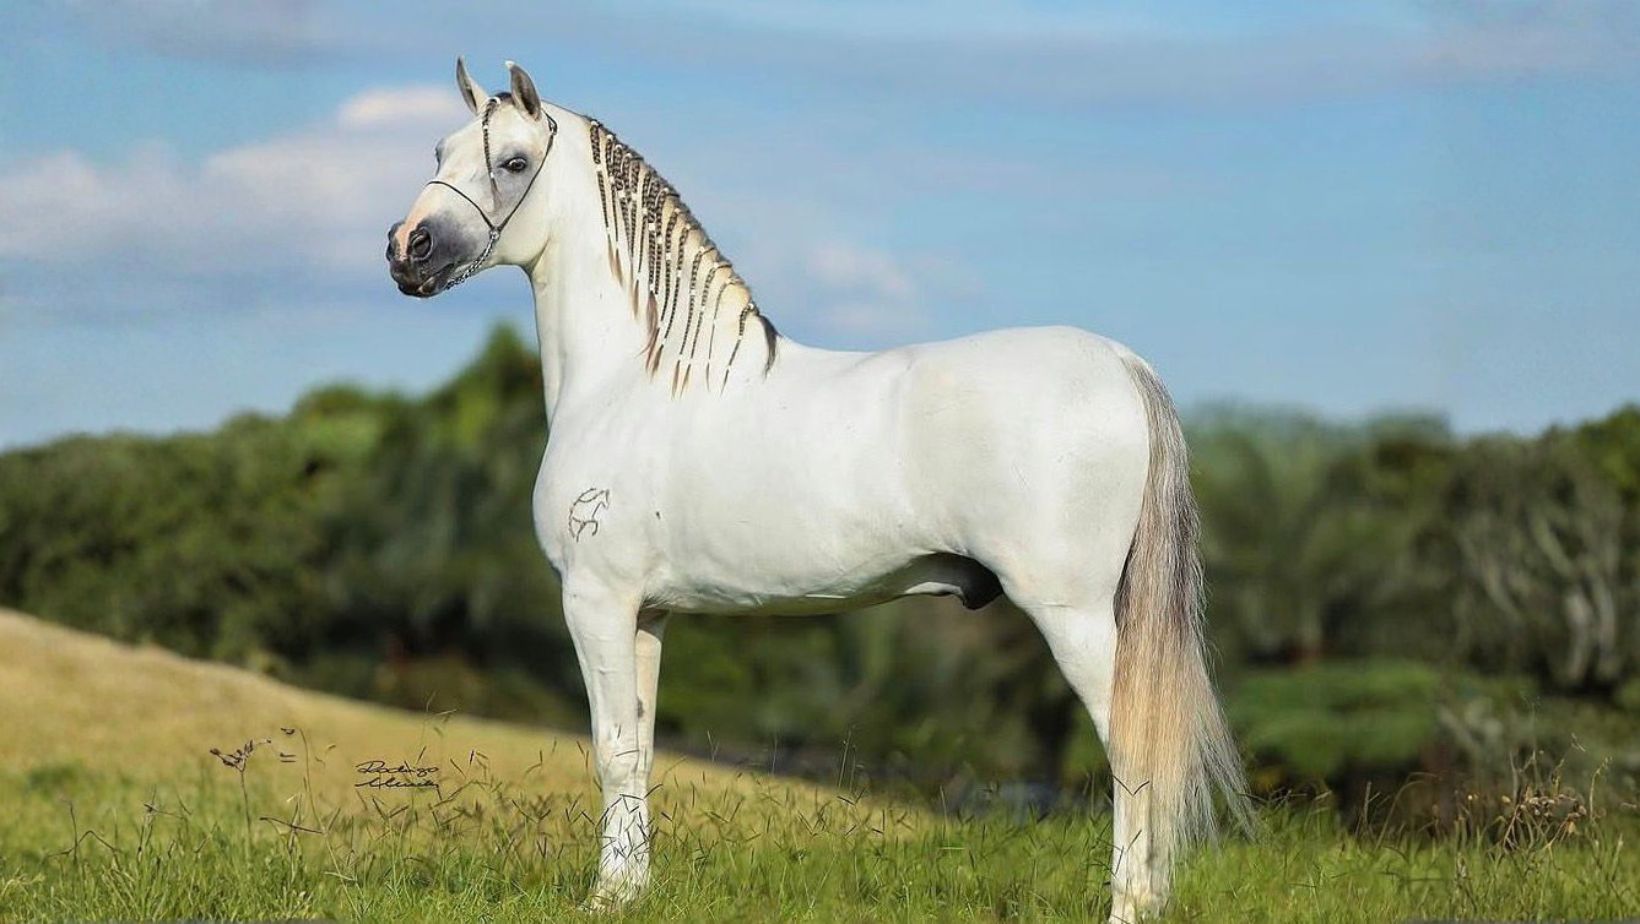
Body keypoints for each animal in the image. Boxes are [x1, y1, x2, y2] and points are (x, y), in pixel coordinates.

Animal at [385, 58, 1249, 922]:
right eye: (440, 148)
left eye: (514, 162)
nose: (406, 249)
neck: (631, 379)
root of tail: (1120, 364)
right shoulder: (647, 613)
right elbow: (640, 747)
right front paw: (633, 889)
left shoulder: (595, 599)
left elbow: (612, 750)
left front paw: (605, 899)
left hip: (1073, 614)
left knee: (1134, 749)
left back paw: (1128, 906)